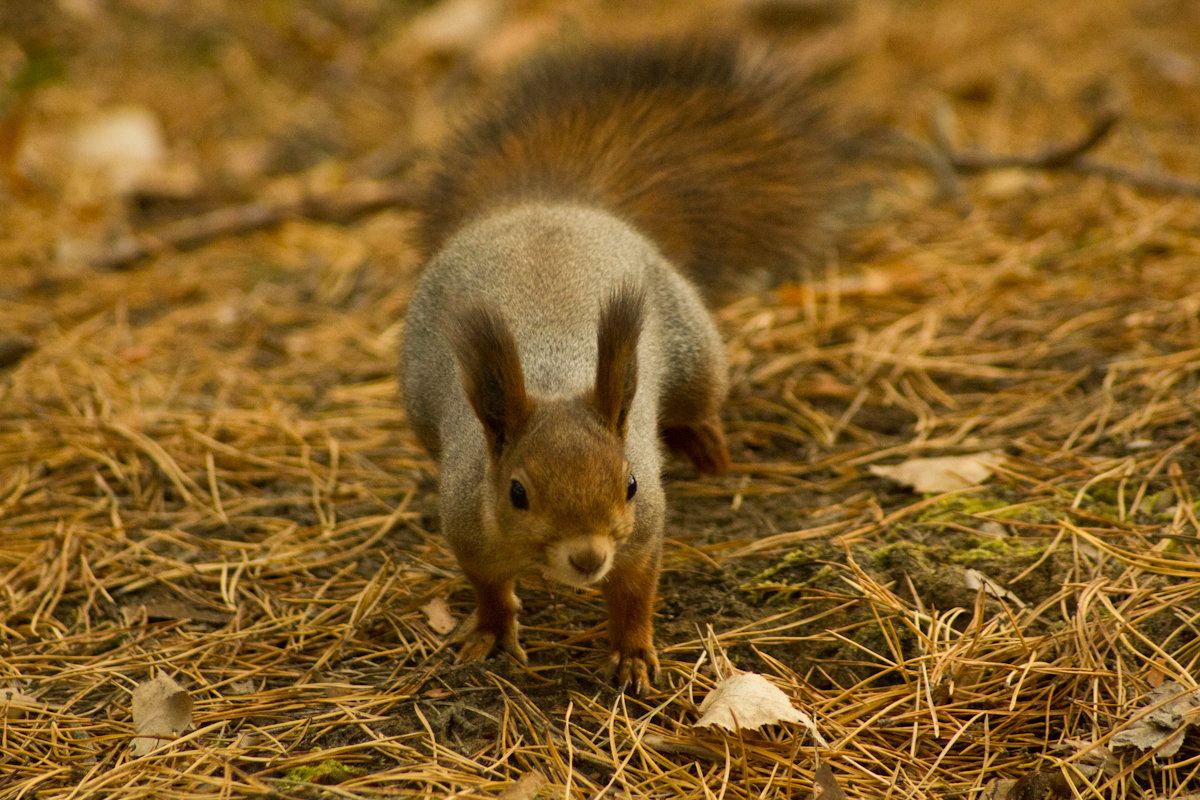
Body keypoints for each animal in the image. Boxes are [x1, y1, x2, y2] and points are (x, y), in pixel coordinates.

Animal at [400, 37, 844, 690]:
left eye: (631, 483)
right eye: (516, 493)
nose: (588, 558)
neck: (554, 379)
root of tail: (553, 204)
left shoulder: (642, 530)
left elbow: (635, 591)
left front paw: (633, 653)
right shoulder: (467, 525)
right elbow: (488, 587)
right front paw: (492, 630)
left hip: (696, 350)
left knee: (699, 401)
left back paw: (704, 442)